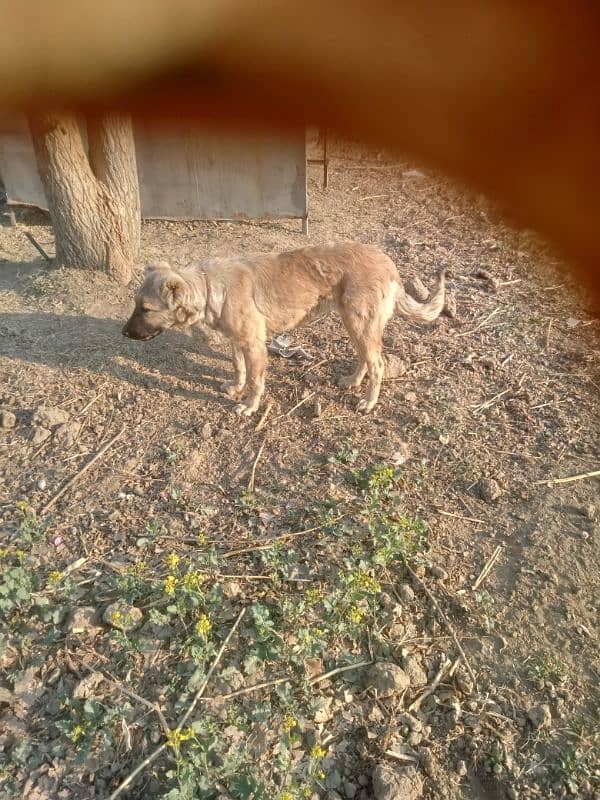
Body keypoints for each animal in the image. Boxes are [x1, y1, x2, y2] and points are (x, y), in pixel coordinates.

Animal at [122, 241, 446, 416]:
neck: (210, 285)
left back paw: (368, 401)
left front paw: (250, 406)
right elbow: (239, 368)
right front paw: (236, 387)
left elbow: (256, 381)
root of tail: (389, 264)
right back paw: (353, 381)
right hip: (355, 323)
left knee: (377, 363)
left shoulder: (254, 345)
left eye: (146, 309)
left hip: (359, 322)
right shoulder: (237, 341)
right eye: (135, 304)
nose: (124, 334)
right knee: (367, 359)